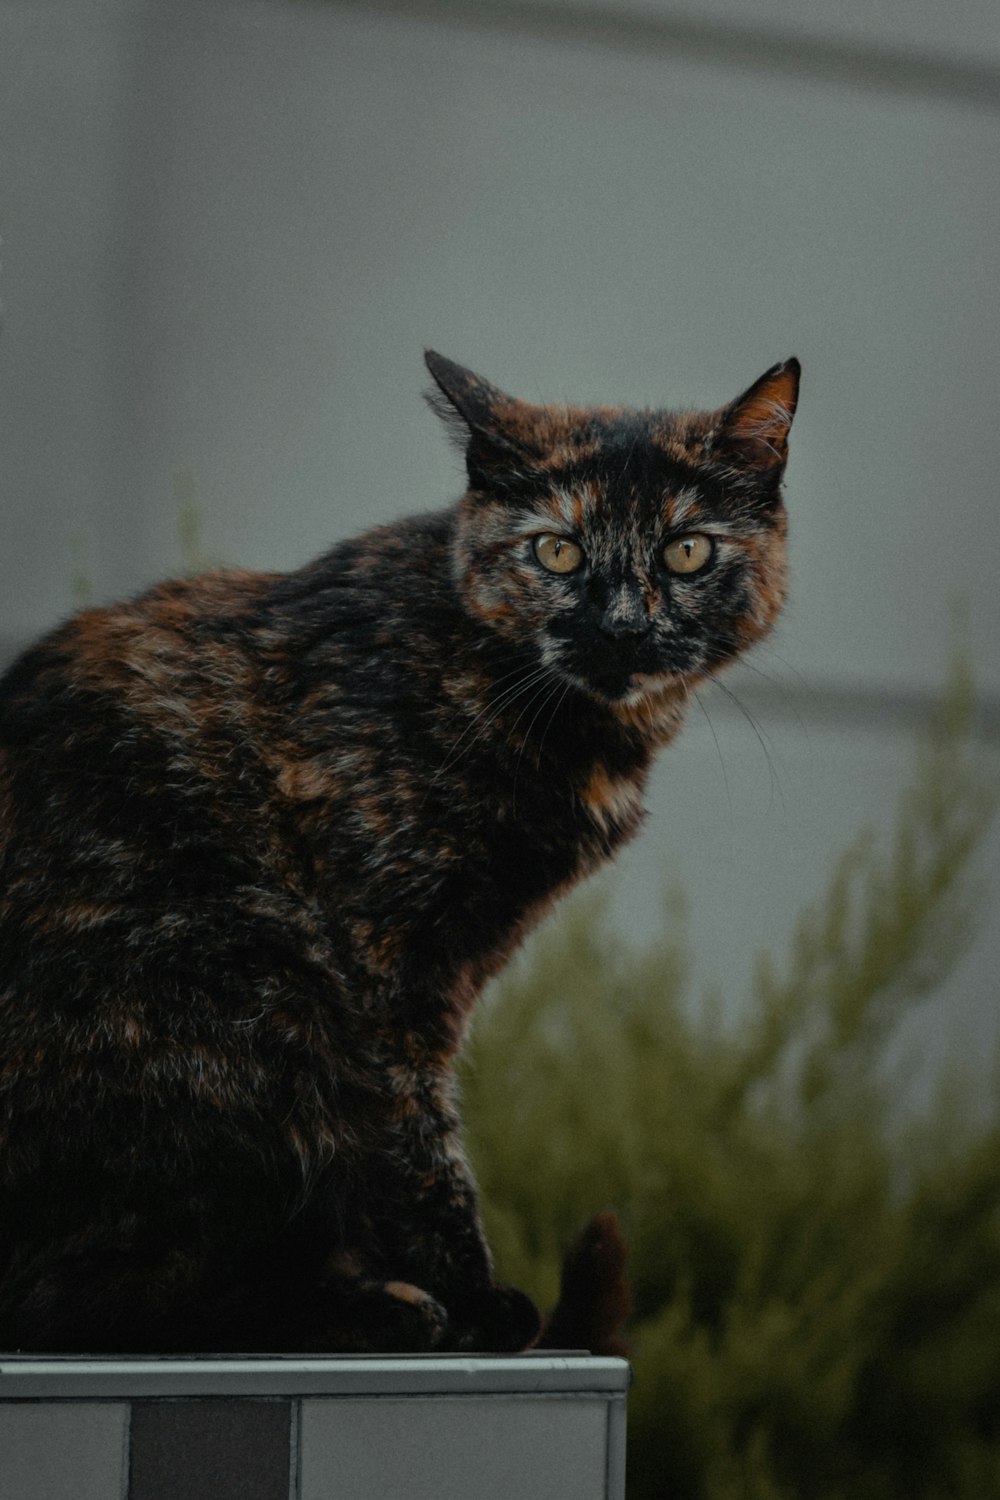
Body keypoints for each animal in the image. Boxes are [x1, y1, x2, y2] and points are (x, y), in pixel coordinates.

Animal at [0, 354, 797, 1362]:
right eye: (557, 553)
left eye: (687, 552)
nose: (620, 627)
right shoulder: (377, 958)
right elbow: (417, 1135)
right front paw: (473, 1293)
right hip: (249, 996)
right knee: (72, 1306)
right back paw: (375, 1308)